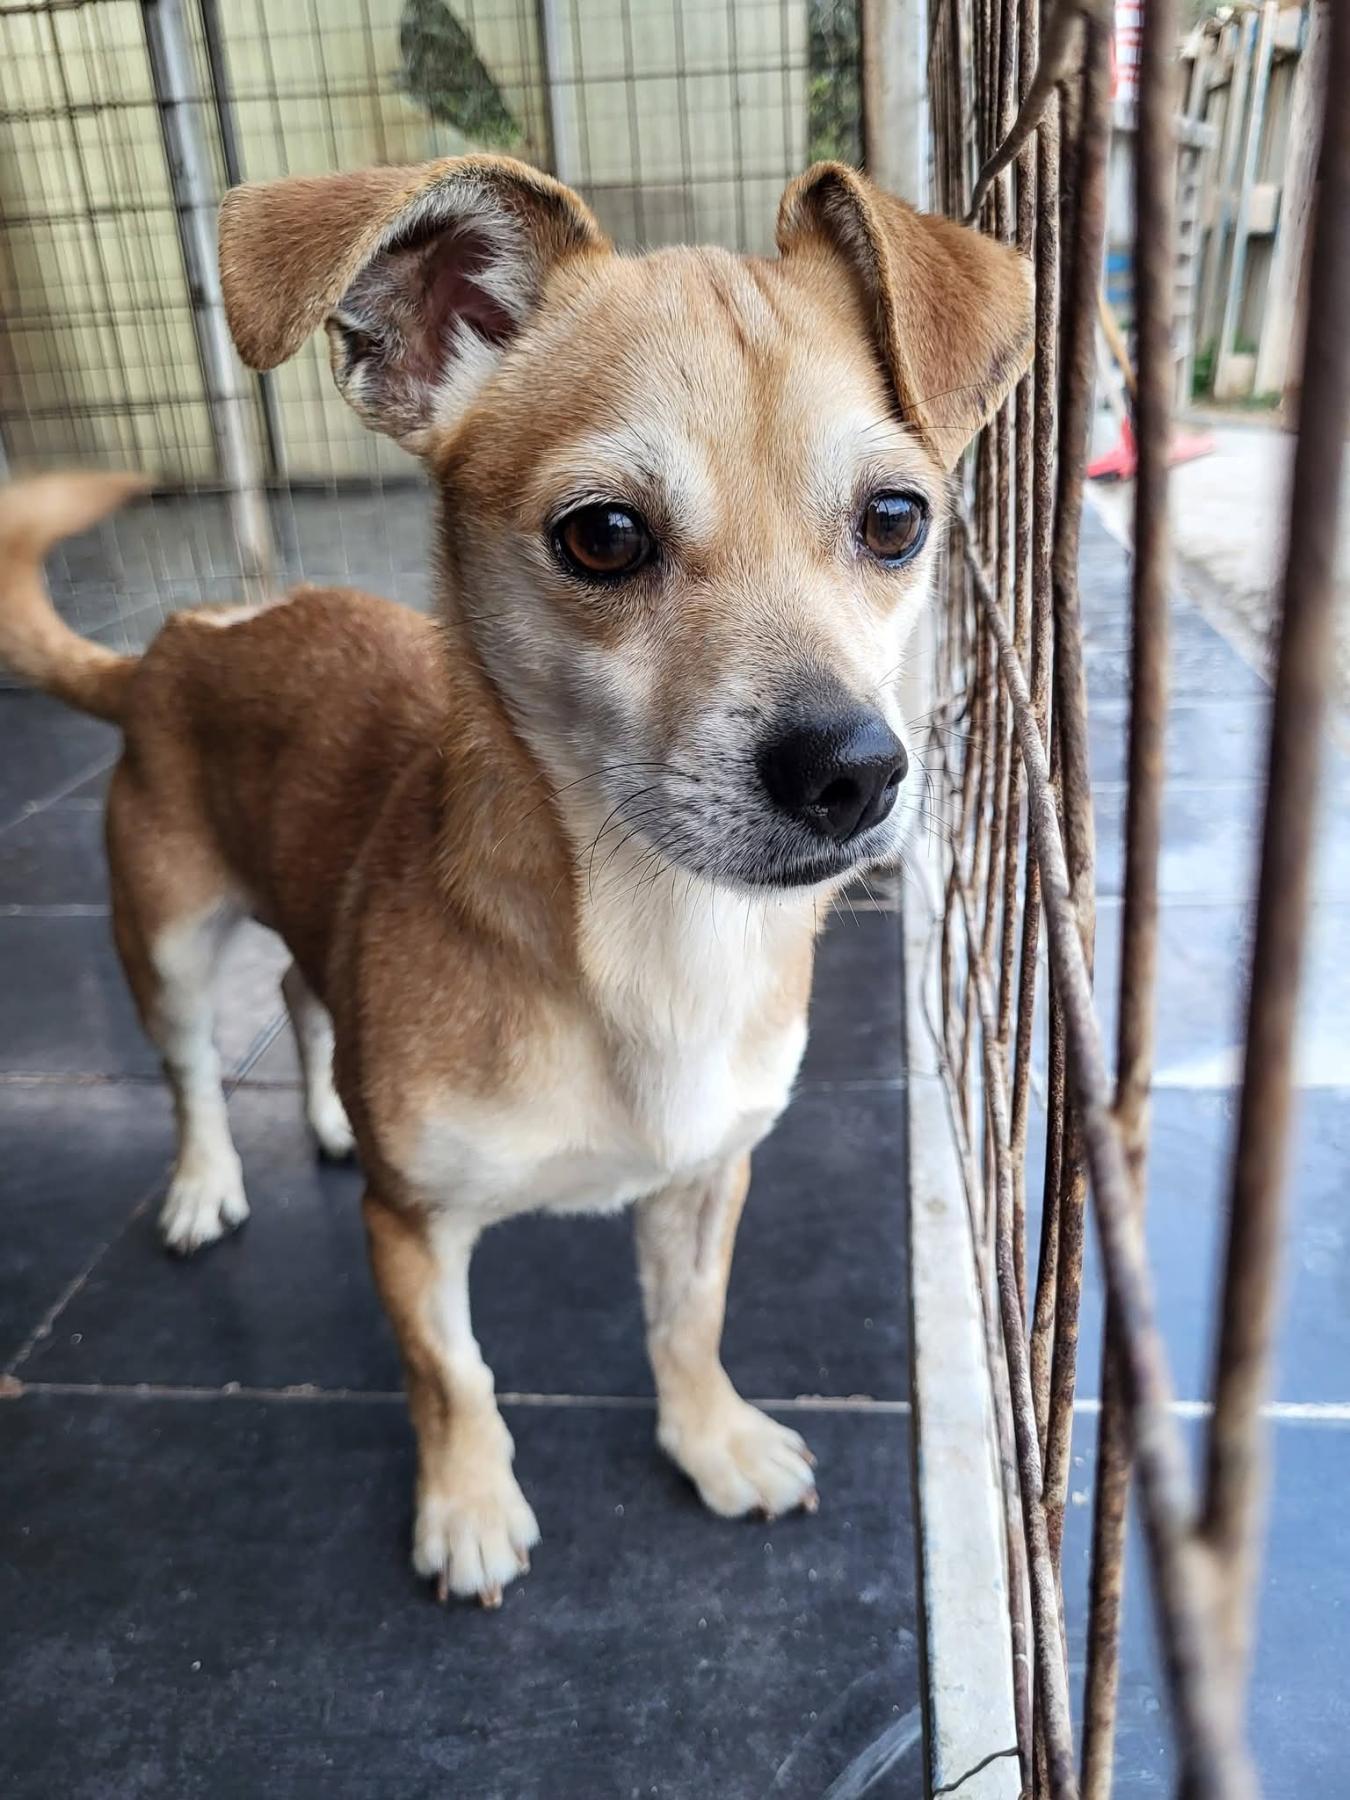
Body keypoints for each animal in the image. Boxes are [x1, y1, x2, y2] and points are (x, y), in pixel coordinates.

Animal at [0, 156, 1031, 1607]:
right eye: (601, 537)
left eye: (897, 521)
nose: (851, 770)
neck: (653, 944)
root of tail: (174, 643)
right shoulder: (412, 1227)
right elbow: (452, 1372)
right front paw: (469, 1508)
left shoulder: (705, 1180)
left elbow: (688, 1321)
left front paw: (710, 1441)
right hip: (165, 938)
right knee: (194, 1069)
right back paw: (205, 1185)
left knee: (307, 999)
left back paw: (325, 1112)